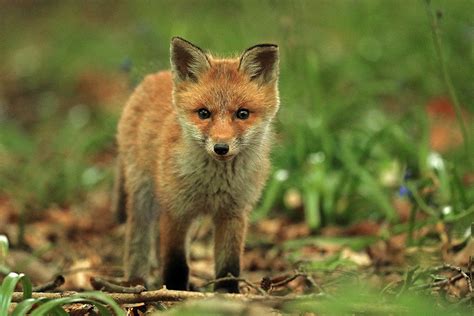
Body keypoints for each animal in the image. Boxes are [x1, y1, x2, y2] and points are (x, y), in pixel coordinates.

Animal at [113, 37, 280, 294]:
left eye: (242, 114)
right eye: (203, 113)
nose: (221, 147)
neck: (215, 184)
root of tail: (155, 76)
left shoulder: (233, 213)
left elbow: (228, 266)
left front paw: (227, 294)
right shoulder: (176, 211)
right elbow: (175, 263)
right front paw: (174, 292)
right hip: (143, 196)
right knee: (138, 240)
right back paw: (136, 282)